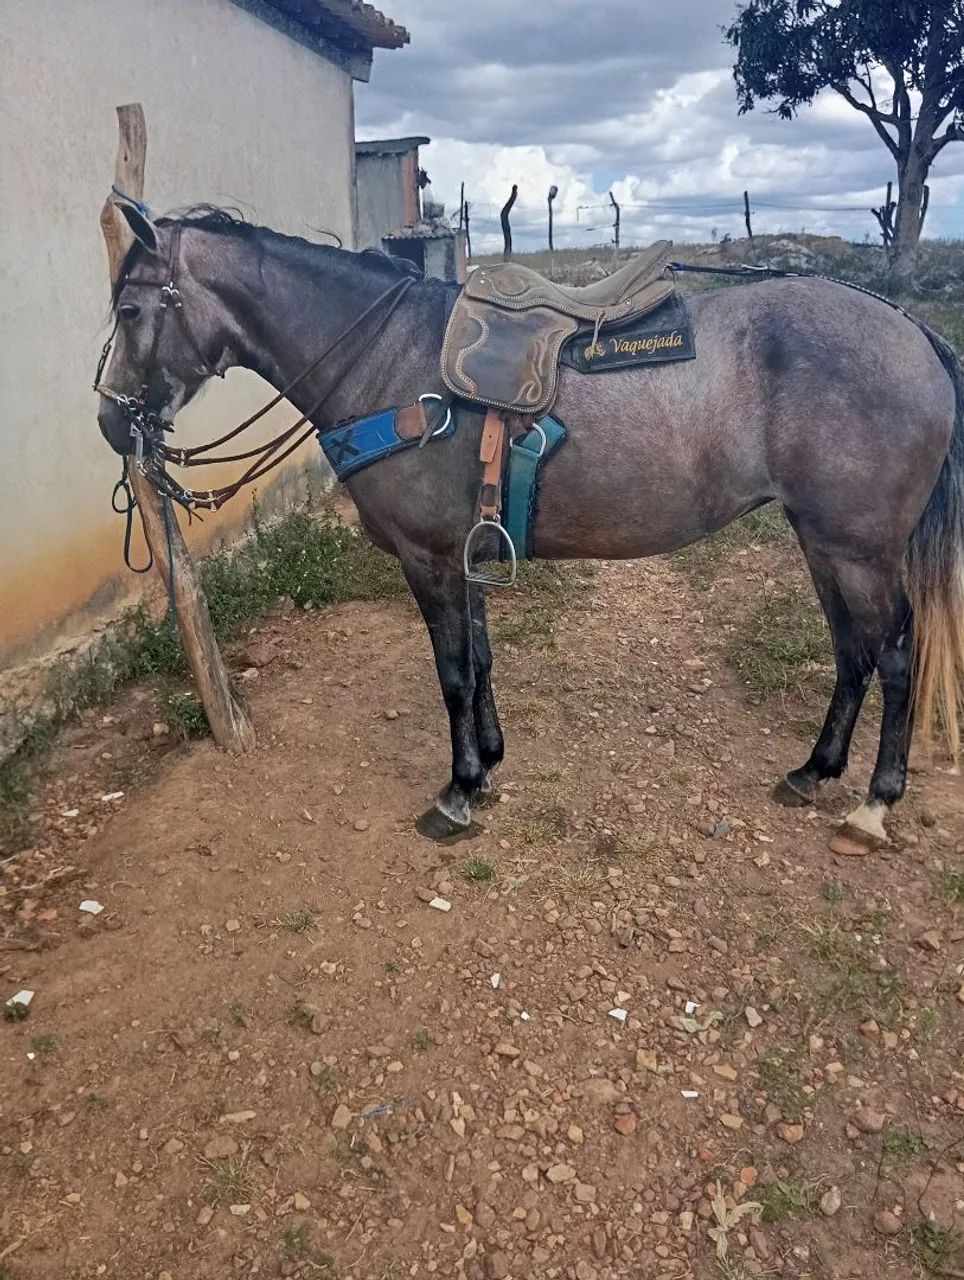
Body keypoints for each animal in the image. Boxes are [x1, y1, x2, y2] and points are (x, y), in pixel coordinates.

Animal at [96, 205, 964, 852]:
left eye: (131, 309)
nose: (110, 422)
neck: (387, 361)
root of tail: (912, 332)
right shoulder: (464, 553)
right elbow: (479, 660)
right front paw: (488, 764)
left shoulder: (428, 559)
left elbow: (452, 673)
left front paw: (457, 791)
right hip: (824, 545)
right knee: (853, 653)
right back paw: (813, 771)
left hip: (856, 550)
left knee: (893, 655)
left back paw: (873, 804)